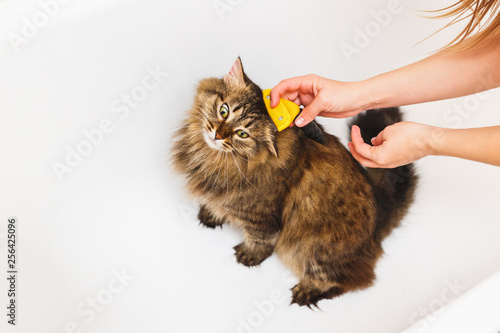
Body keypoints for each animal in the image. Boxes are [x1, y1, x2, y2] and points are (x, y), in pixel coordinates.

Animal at [172, 57, 418, 306]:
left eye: (242, 134)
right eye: (223, 111)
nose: (217, 135)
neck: (214, 158)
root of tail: (378, 216)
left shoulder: (262, 215)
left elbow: (260, 240)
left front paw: (249, 256)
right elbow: (219, 205)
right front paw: (210, 214)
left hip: (313, 247)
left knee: (351, 281)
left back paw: (307, 291)